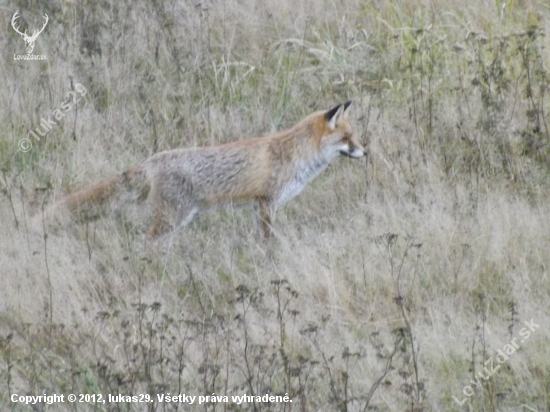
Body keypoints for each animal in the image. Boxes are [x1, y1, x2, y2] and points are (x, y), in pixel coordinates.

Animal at [50, 101, 366, 240]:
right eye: (348, 139)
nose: (366, 152)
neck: (294, 154)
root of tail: (151, 160)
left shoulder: (262, 205)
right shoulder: (267, 203)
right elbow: (268, 239)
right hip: (174, 217)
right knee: (146, 241)